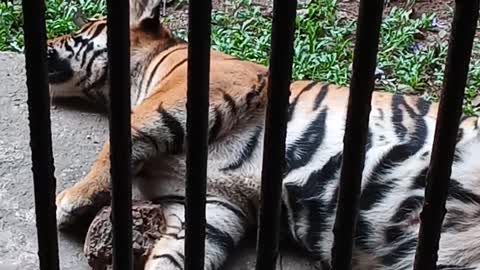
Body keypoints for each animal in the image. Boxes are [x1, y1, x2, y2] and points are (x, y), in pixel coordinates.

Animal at [46, 0, 480, 270]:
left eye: (72, 33)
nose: (46, 41)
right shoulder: (212, 203)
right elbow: (175, 253)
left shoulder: (205, 86)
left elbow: (125, 135)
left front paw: (70, 200)